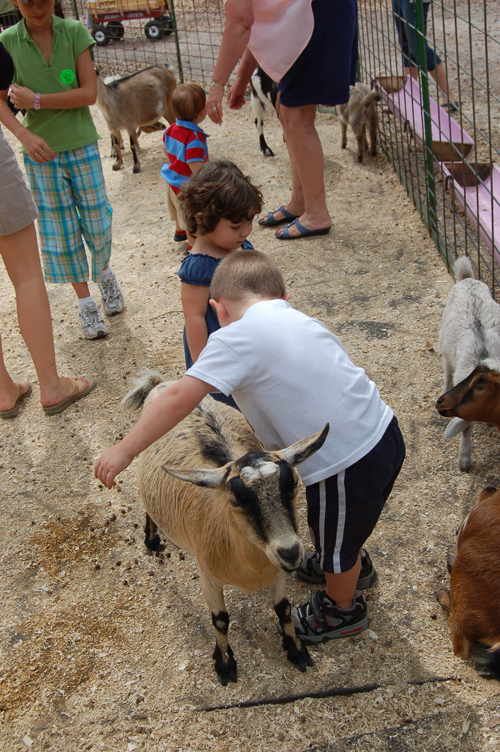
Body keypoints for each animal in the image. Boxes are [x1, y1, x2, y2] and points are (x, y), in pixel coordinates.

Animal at [122, 374, 328, 684]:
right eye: (235, 500)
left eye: (292, 485)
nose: (291, 552)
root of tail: (163, 382)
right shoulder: (208, 575)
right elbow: (220, 620)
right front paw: (225, 664)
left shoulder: (277, 571)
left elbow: (283, 609)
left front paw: (296, 651)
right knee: (148, 507)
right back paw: (151, 540)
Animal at [436, 258, 500, 470]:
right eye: (478, 385)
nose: (441, 403)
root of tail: (467, 279)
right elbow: (465, 426)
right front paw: (464, 459)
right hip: (444, 343)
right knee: (447, 370)